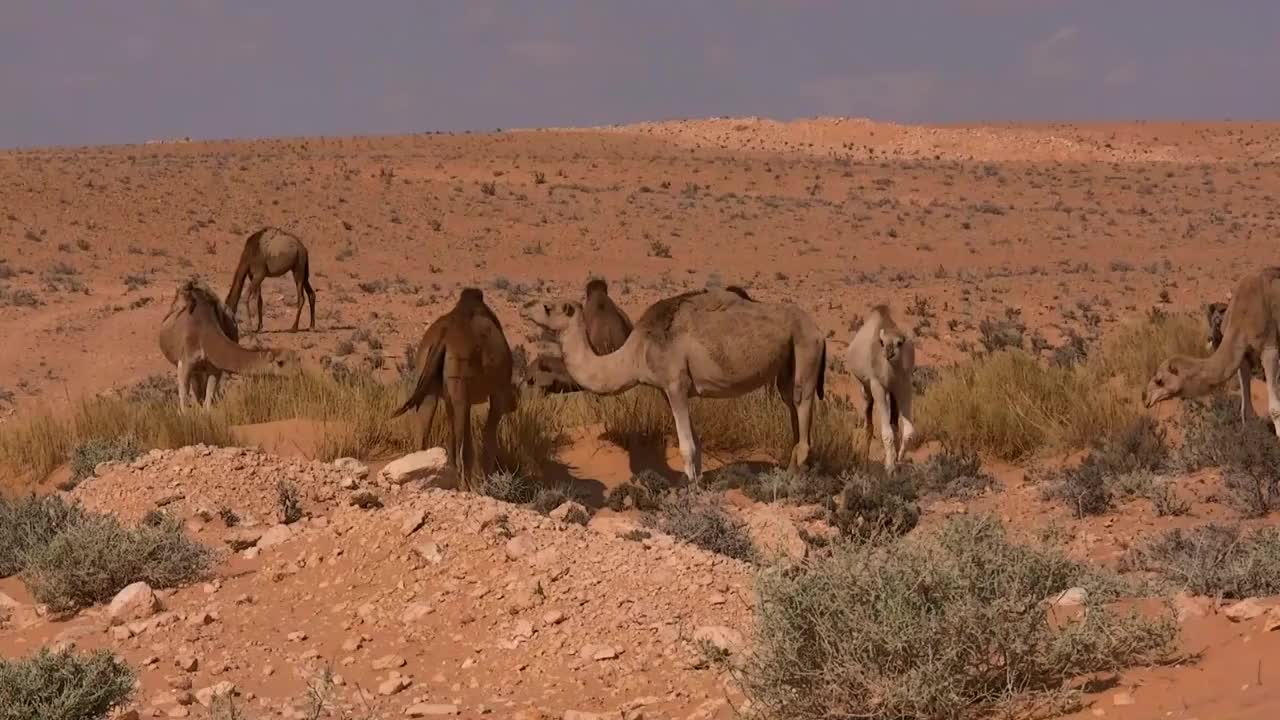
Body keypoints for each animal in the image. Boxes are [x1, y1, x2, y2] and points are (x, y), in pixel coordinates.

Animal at [156, 275, 300, 409]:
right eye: (280, 362)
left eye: (297, 359)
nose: (297, 374)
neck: (205, 335)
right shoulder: (186, 362)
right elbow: (184, 401)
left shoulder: (214, 368)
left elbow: (208, 402)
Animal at [389, 285, 514, 486]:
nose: (514, 404)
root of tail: (444, 335)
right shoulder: (498, 392)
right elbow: (488, 435)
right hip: (459, 386)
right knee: (461, 444)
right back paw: (462, 485)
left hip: (431, 387)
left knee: (424, 432)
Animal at [522, 285, 829, 481]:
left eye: (548, 307)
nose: (524, 306)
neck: (635, 353)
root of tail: (819, 331)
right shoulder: (665, 390)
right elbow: (697, 444)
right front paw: (697, 485)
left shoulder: (675, 384)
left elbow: (687, 446)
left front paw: (690, 492)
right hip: (787, 363)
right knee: (791, 407)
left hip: (806, 350)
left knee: (801, 407)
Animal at [844, 302, 916, 471]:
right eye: (882, 342)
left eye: (900, 342)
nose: (888, 353)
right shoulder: (878, 386)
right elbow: (887, 433)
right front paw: (889, 467)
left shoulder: (904, 385)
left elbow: (908, 431)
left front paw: (899, 458)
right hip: (865, 389)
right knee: (868, 424)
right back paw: (864, 460)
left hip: (892, 394)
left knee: (894, 423)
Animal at [1146, 267, 1280, 425]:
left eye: (1159, 381)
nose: (1147, 399)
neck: (1243, 318)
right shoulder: (1243, 356)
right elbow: (1246, 410)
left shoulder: (1270, 349)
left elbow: (1275, 410)